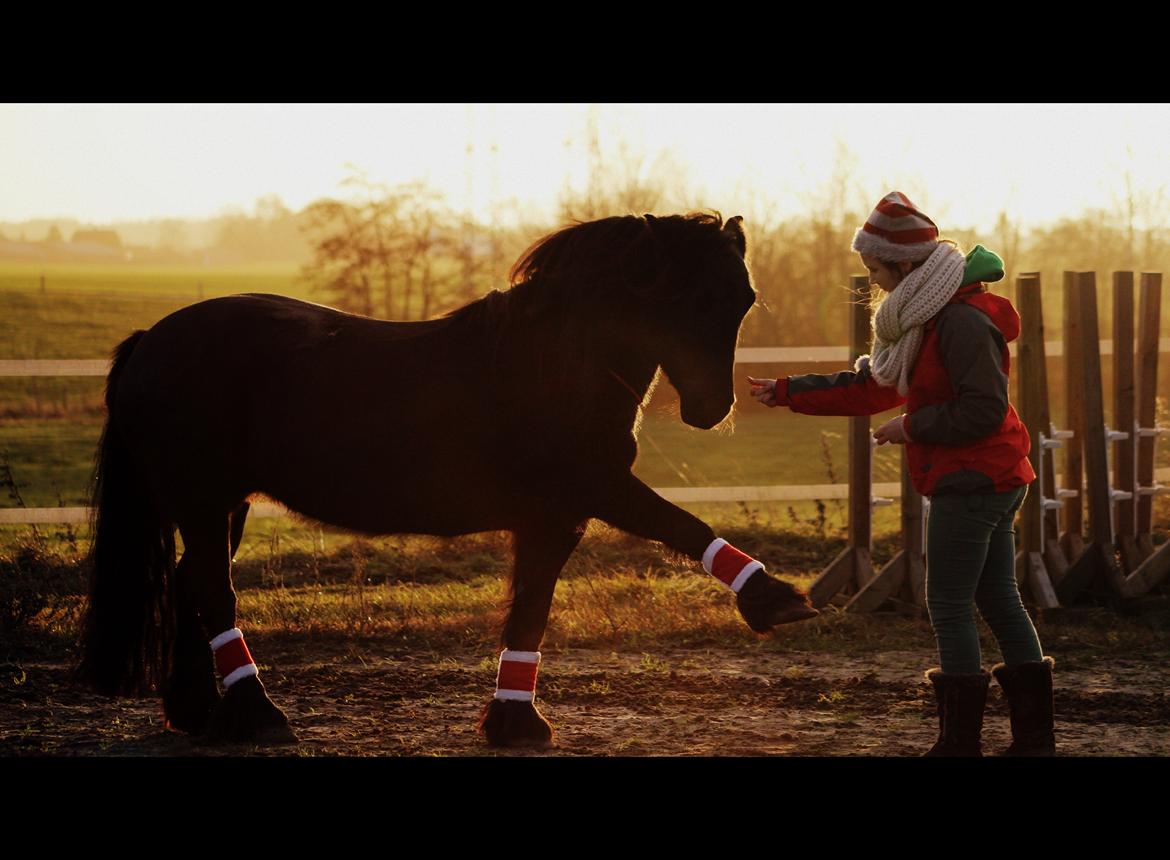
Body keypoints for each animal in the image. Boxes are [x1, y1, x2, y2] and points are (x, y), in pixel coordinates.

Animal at [77, 214, 814, 748]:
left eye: (743, 299)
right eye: (681, 295)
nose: (711, 409)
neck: (552, 365)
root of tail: (150, 341)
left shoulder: (555, 519)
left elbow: (531, 612)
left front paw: (516, 722)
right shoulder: (594, 489)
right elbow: (682, 524)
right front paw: (774, 599)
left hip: (223, 506)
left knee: (191, 587)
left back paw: (199, 713)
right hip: (203, 501)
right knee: (214, 594)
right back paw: (259, 716)